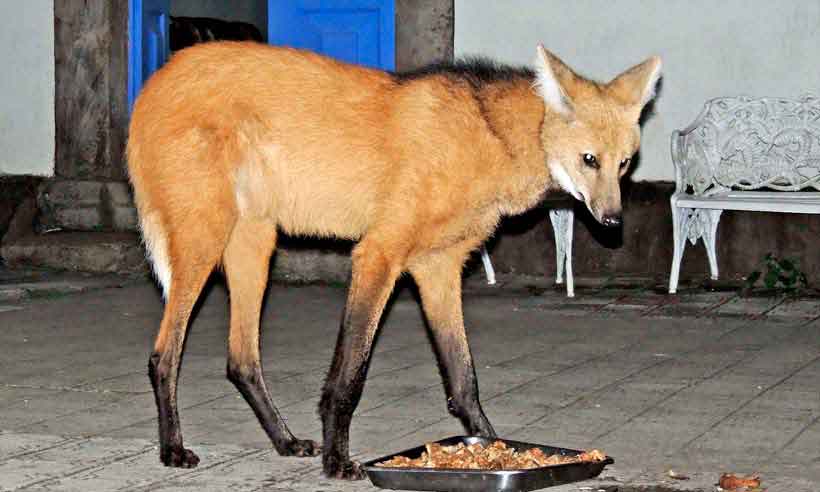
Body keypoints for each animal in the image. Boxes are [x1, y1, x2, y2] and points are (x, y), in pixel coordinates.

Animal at [130, 40, 668, 478]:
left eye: (622, 164)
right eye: (589, 160)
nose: (613, 221)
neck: (489, 140)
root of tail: (155, 82)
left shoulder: (438, 268)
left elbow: (464, 379)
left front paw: (492, 449)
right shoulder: (379, 253)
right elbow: (349, 376)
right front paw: (338, 461)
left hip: (256, 247)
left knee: (241, 361)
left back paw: (284, 441)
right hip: (204, 242)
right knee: (163, 355)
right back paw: (173, 448)